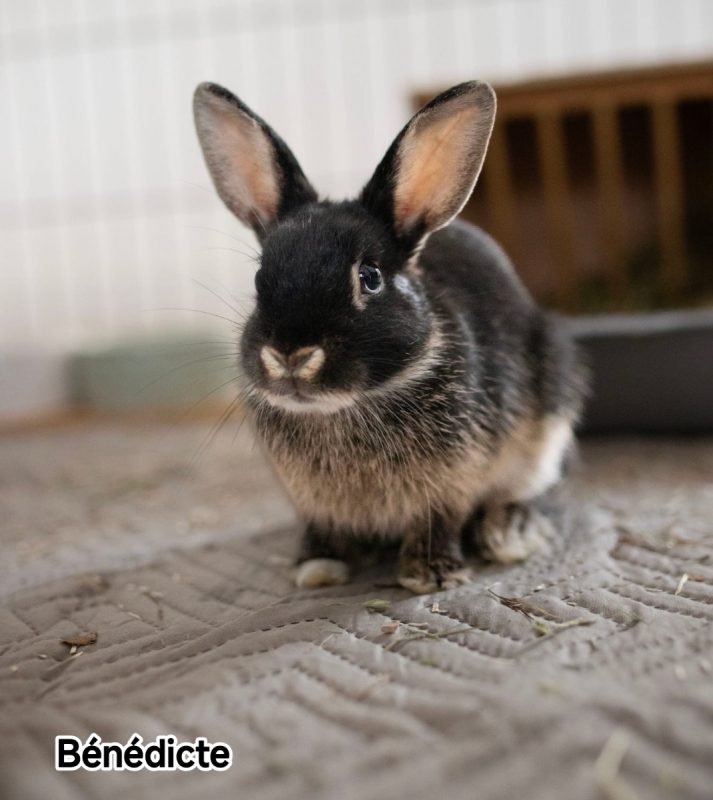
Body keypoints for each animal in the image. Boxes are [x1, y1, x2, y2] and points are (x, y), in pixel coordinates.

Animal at [193, 80, 587, 594]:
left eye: (370, 277)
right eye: (261, 279)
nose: (291, 356)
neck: (342, 410)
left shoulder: (451, 483)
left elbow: (437, 521)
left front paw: (431, 575)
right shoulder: (313, 504)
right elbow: (323, 530)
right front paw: (316, 568)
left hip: (548, 423)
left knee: (534, 490)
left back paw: (509, 533)